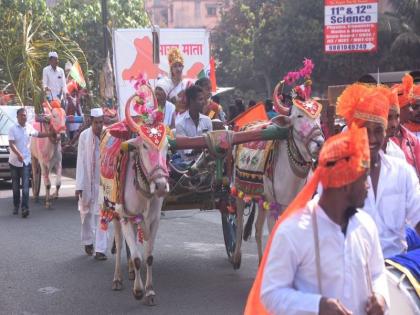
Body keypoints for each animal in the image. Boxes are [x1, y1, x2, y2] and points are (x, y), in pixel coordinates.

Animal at [98, 81, 169, 306]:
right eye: (144, 145)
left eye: (167, 146)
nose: (161, 186)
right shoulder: (126, 217)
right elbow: (137, 257)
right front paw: (138, 291)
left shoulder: (154, 220)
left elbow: (148, 256)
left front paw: (150, 291)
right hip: (112, 211)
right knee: (121, 244)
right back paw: (118, 278)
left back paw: (129, 272)